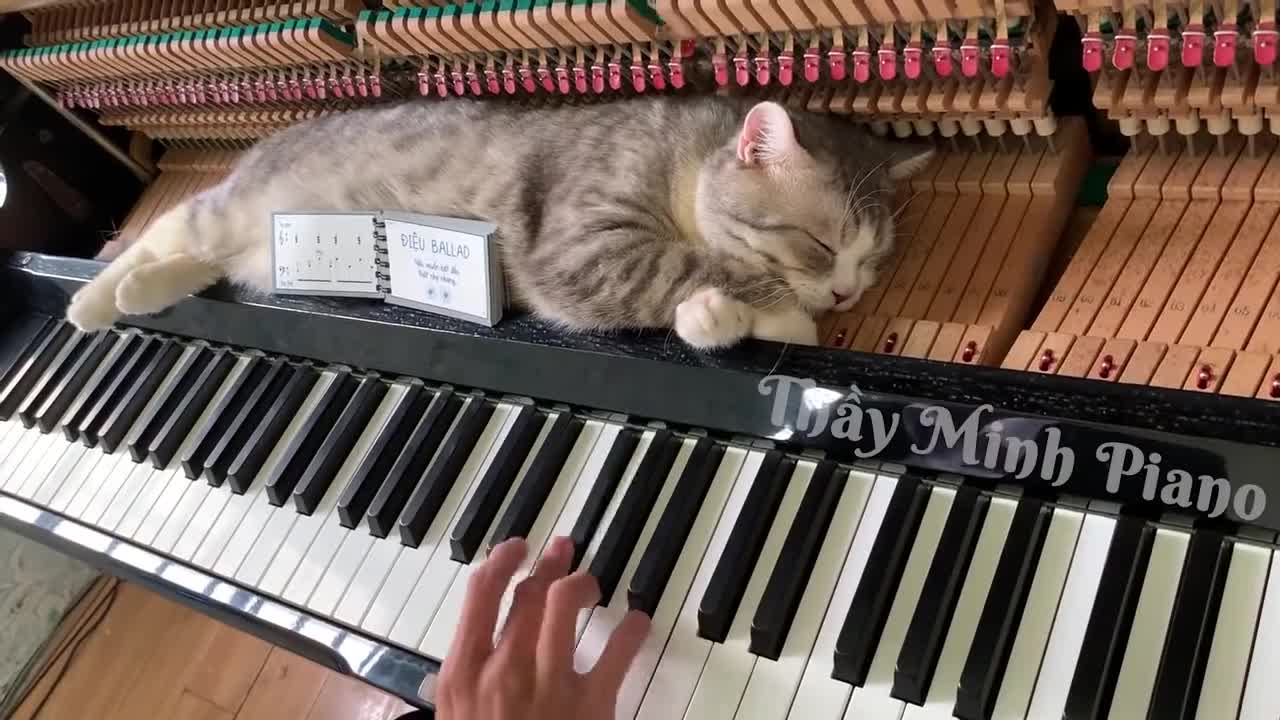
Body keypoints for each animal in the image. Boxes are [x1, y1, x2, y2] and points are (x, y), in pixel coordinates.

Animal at [67, 92, 931, 348]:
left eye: (873, 260)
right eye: (819, 244)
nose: (851, 294)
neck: (684, 167)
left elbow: (697, 295)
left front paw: (719, 320)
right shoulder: (579, 248)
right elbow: (695, 268)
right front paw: (788, 319)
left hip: (247, 249)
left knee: (198, 263)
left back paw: (137, 294)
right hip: (222, 210)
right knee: (167, 232)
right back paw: (94, 298)